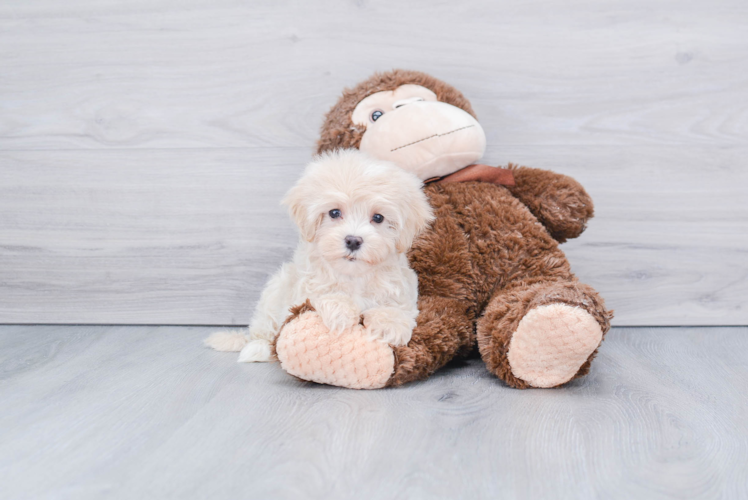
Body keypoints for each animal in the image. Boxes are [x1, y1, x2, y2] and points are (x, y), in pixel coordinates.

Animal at [207, 148, 436, 364]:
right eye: (334, 213)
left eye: (378, 218)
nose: (353, 240)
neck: (354, 276)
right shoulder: (305, 289)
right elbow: (323, 295)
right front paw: (340, 310)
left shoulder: (401, 291)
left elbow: (397, 307)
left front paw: (390, 325)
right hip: (274, 293)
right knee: (264, 331)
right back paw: (258, 348)